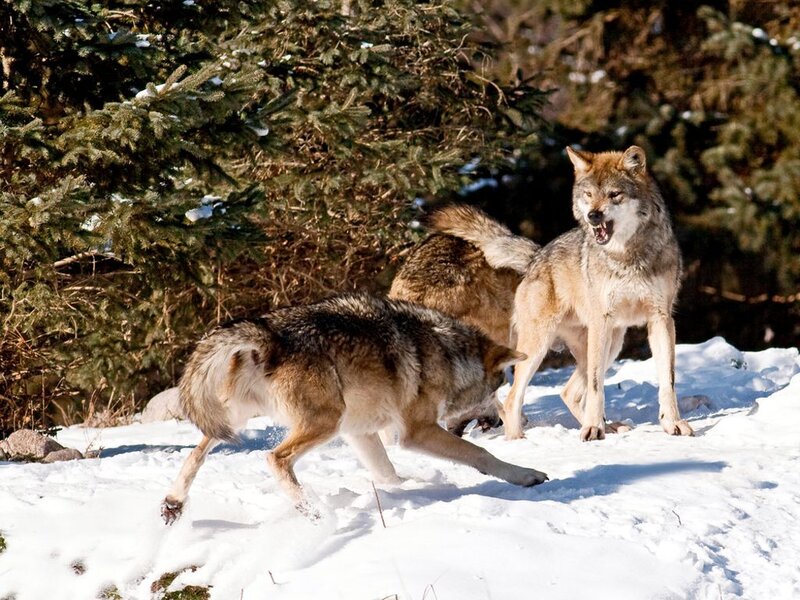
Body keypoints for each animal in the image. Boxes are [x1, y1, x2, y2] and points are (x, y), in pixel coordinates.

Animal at [161, 293, 548, 524]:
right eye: (496, 392)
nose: (501, 420)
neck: (449, 356)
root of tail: (269, 334)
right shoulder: (416, 432)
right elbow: (481, 454)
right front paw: (526, 474)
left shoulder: (360, 433)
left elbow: (388, 473)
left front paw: (407, 488)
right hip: (323, 423)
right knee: (275, 458)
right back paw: (311, 512)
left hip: (232, 421)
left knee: (195, 455)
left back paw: (173, 503)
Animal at [502, 145, 694, 441]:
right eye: (589, 195)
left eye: (615, 194)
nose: (593, 216)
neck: (627, 257)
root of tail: (536, 257)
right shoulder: (601, 322)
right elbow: (596, 386)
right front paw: (593, 428)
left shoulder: (661, 319)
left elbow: (668, 380)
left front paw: (673, 424)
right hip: (541, 347)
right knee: (512, 400)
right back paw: (520, 442)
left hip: (612, 345)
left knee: (567, 392)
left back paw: (610, 427)